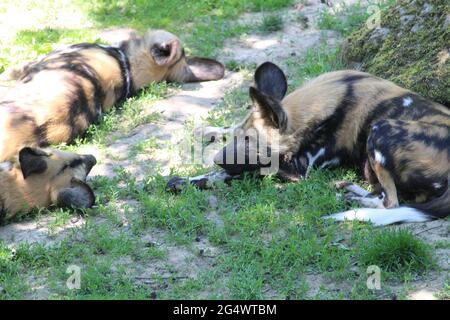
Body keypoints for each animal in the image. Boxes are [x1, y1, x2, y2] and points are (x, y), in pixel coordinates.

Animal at [167, 62, 450, 226]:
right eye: (239, 136)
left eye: (249, 142)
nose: (217, 160)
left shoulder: (298, 170)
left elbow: (241, 174)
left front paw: (196, 179)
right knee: (384, 195)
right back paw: (351, 190)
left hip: (381, 129)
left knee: (392, 203)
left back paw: (355, 201)